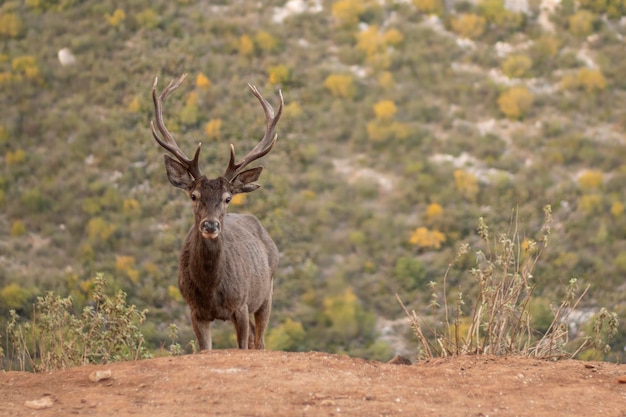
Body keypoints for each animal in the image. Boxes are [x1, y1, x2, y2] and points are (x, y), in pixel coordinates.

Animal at [150, 73, 282, 350]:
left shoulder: (240, 305)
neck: (211, 290)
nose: (210, 225)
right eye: (194, 195)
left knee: (260, 341)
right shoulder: (195, 311)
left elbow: (243, 346)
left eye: (227, 198)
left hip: (266, 292)